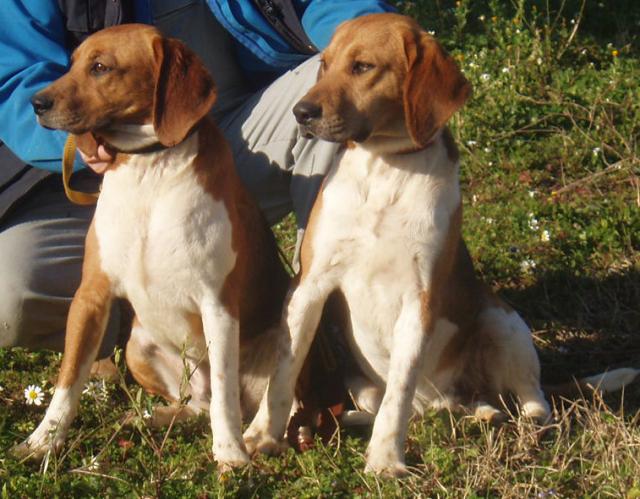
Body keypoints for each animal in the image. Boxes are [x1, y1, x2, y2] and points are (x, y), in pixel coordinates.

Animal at [13, 24, 290, 472]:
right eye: (72, 62)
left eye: (100, 67)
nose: (36, 102)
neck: (150, 171)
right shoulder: (91, 296)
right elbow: (67, 381)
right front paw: (43, 441)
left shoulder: (217, 305)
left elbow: (225, 398)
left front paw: (230, 454)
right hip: (137, 346)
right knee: (197, 404)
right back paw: (150, 416)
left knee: (241, 404)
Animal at [242, 13, 636, 476]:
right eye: (325, 64)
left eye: (362, 66)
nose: (302, 113)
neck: (386, 168)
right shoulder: (311, 286)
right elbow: (283, 372)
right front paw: (263, 435)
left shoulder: (420, 300)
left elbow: (399, 394)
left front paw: (385, 461)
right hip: (364, 380)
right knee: (422, 406)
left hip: (502, 319)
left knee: (530, 396)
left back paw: (527, 423)